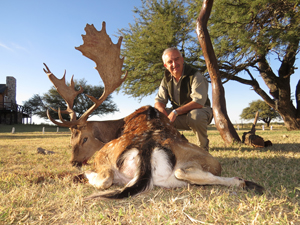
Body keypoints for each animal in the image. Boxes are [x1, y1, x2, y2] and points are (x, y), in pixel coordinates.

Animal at [44, 22, 262, 200]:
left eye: (84, 138)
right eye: (70, 138)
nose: (73, 161)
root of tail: (147, 147)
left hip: (106, 157)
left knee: (106, 178)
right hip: (205, 163)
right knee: (188, 173)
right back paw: (242, 181)